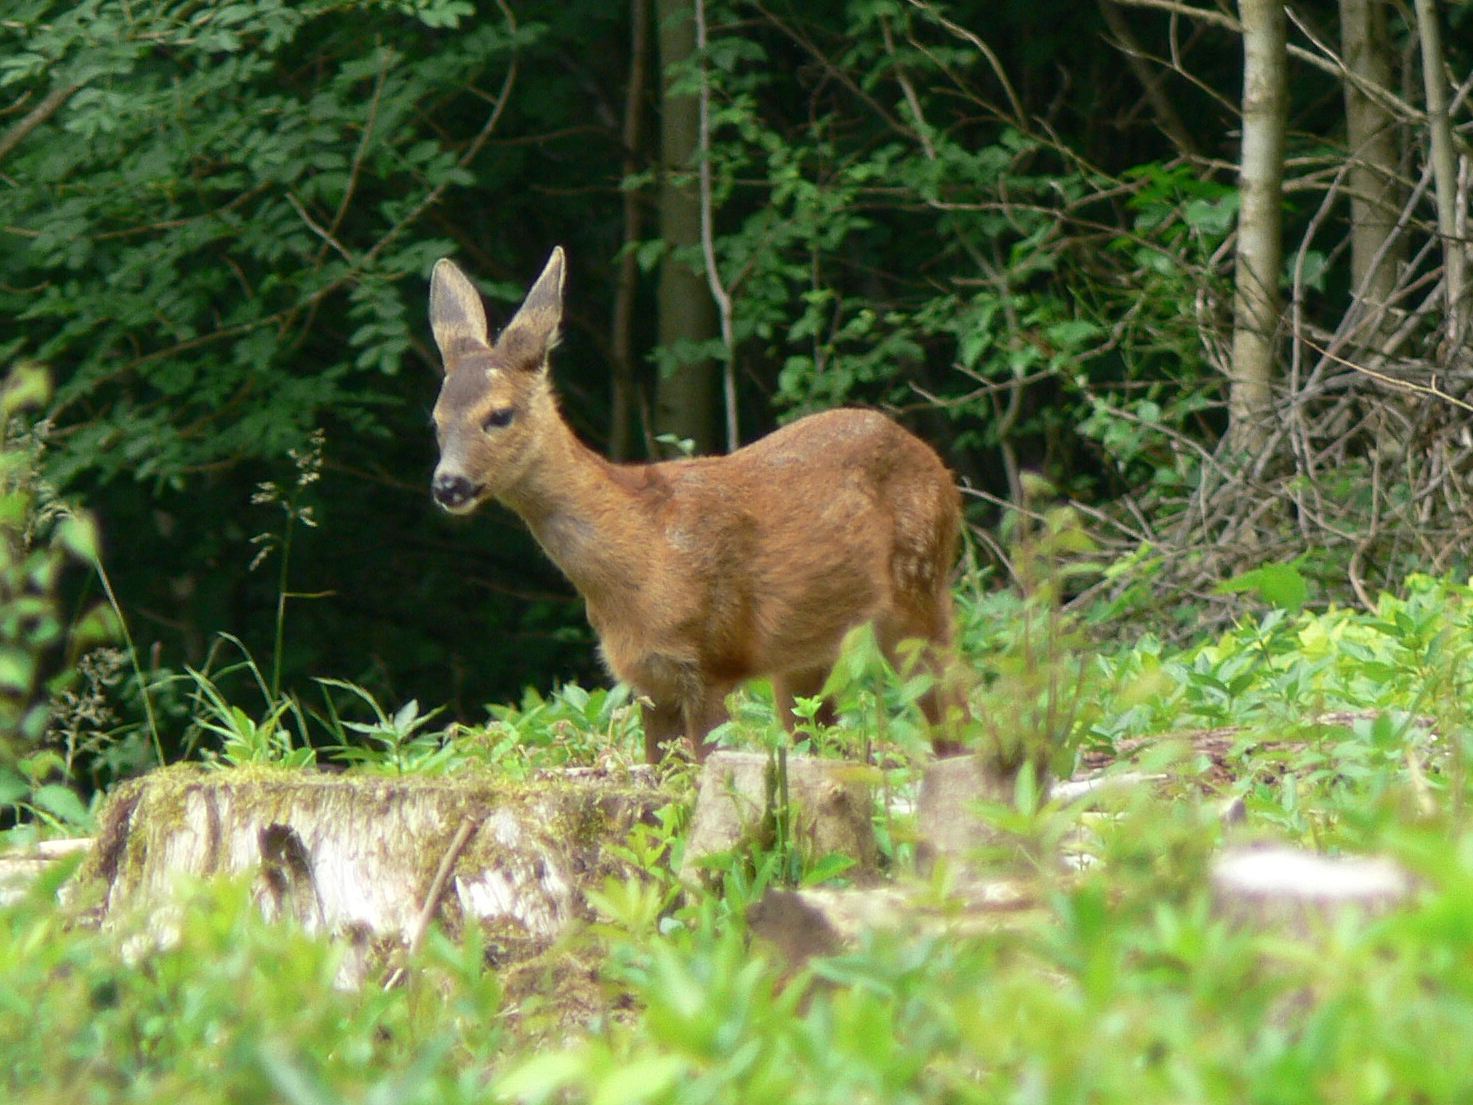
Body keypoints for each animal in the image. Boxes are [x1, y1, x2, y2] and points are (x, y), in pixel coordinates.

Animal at [427, 251, 966, 766]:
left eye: (500, 414)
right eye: (436, 419)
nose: (447, 484)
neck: (640, 558)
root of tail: (938, 465)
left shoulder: (711, 656)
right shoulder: (646, 680)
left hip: (918, 589)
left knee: (954, 714)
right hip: (806, 653)